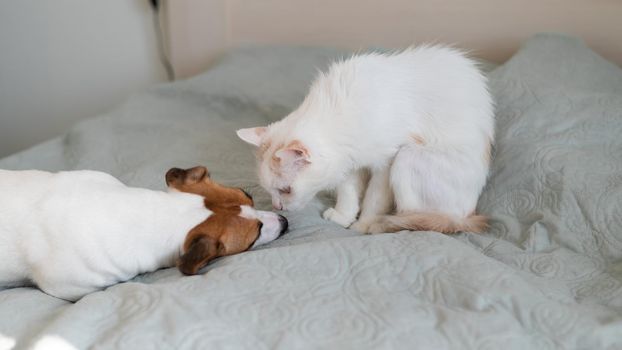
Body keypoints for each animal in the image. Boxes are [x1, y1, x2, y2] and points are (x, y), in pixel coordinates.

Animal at [236, 45, 494, 234]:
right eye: (270, 192)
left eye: (286, 190)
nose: (277, 207)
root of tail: (467, 215)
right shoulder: (350, 162)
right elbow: (348, 193)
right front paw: (342, 217)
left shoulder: (386, 163)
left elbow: (374, 199)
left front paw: (362, 225)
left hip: (408, 157)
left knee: (417, 219)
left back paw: (381, 225)